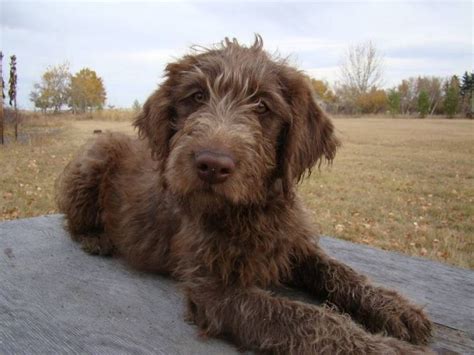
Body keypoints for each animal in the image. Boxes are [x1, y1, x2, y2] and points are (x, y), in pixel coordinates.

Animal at [56, 37, 434, 354]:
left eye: (263, 106)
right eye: (196, 97)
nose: (212, 165)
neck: (250, 210)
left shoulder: (290, 246)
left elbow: (337, 270)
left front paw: (391, 306)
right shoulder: (214, 289)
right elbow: (303, 319)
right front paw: (383, 348)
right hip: (93, 159)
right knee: (70, 220)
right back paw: (95, 237)